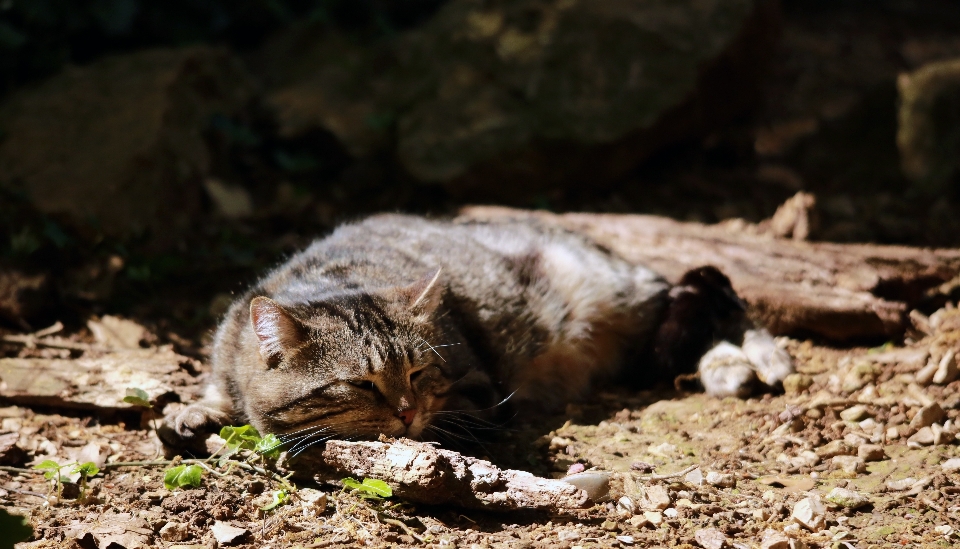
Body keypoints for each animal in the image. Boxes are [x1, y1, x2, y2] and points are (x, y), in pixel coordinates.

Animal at [161, 212, 796, 452]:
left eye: (419, 372)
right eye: (362, 384)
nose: (407, 412)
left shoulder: (481, 390)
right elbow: (211, 394)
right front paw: (191, 413)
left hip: (624, 294)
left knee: (714, 298)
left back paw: (746, 361)